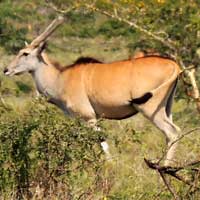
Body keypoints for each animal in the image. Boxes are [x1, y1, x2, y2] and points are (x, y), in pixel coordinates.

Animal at [3, 16, 181, 165]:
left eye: (25, 53)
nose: (6, 70)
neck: (61, 78)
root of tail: (174, 65)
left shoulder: (89, 117)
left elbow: (102, 143)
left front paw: (110, 166)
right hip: (166, 108)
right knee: (171, 134)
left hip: (149, 108)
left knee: (172, 132)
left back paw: (165, 168)